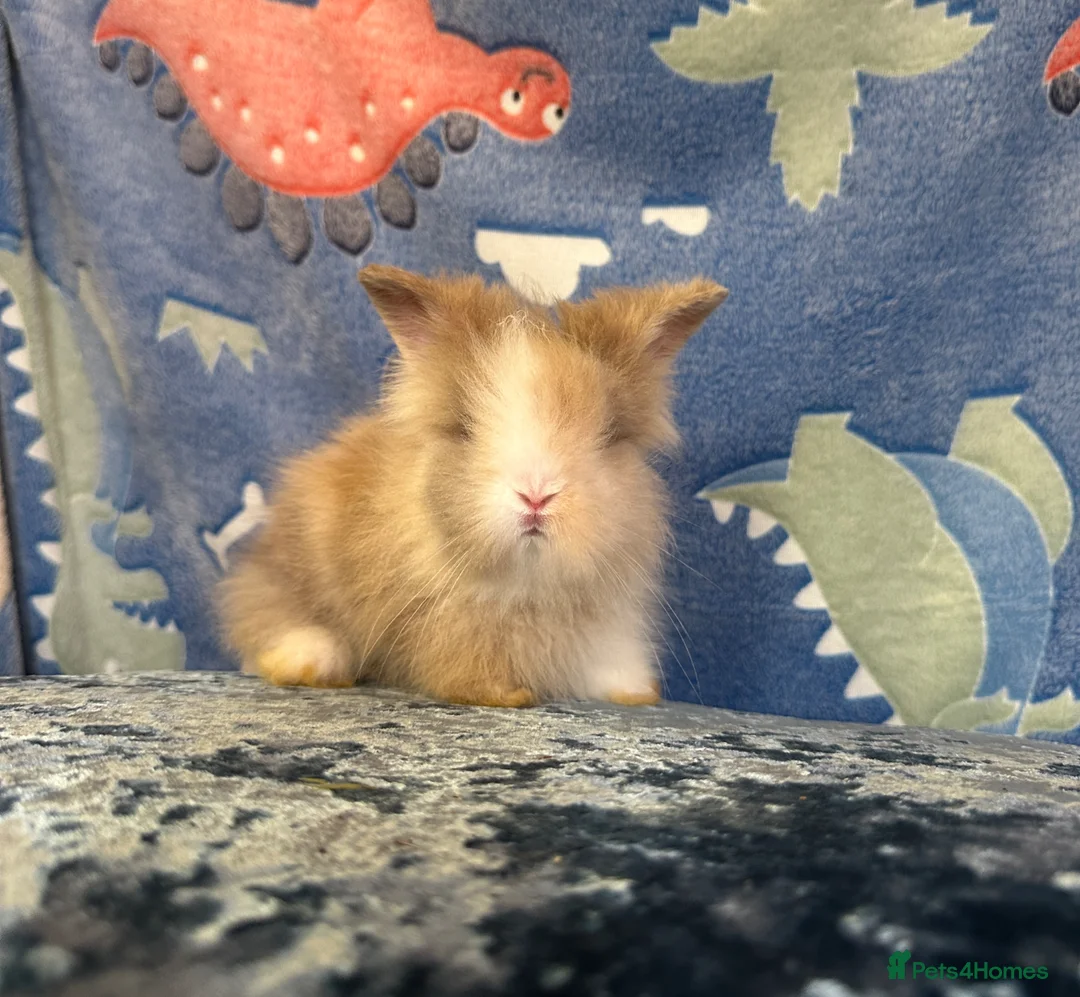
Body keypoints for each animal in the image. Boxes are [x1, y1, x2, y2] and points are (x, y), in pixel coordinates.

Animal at [219, 264, 727, 707]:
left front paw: (636, 692)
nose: (536, 495)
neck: (525, 586)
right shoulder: (441, 626)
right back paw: (308, 661)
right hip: (285, 572)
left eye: (610, 433)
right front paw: (502, 695)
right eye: (464, 427)